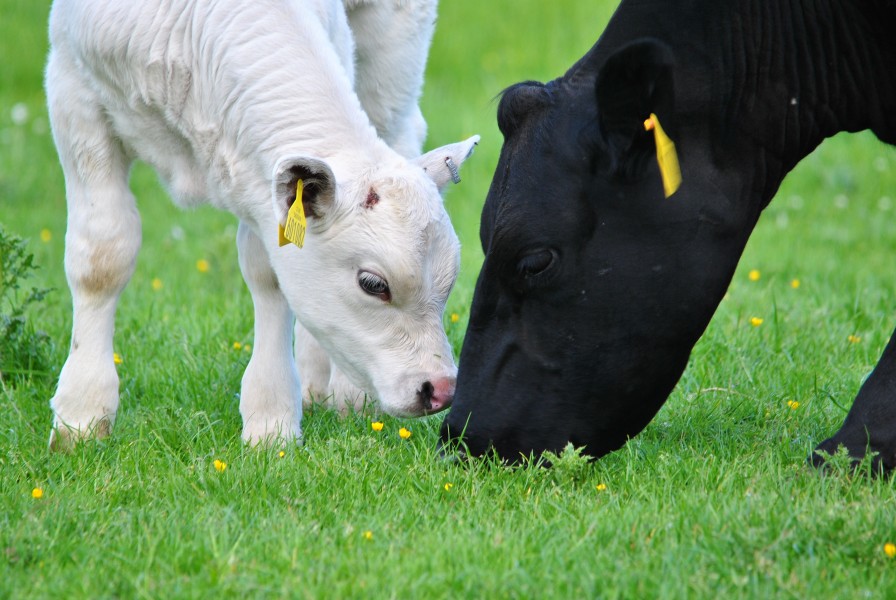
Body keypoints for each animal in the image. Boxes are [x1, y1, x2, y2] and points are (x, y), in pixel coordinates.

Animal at [44, 0, 479, 450]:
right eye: (373, 284)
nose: (440, 389)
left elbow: (269, 275)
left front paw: (272, 424)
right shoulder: (72, 88)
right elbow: (101, 257)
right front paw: (81, 417)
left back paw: (344, 393)